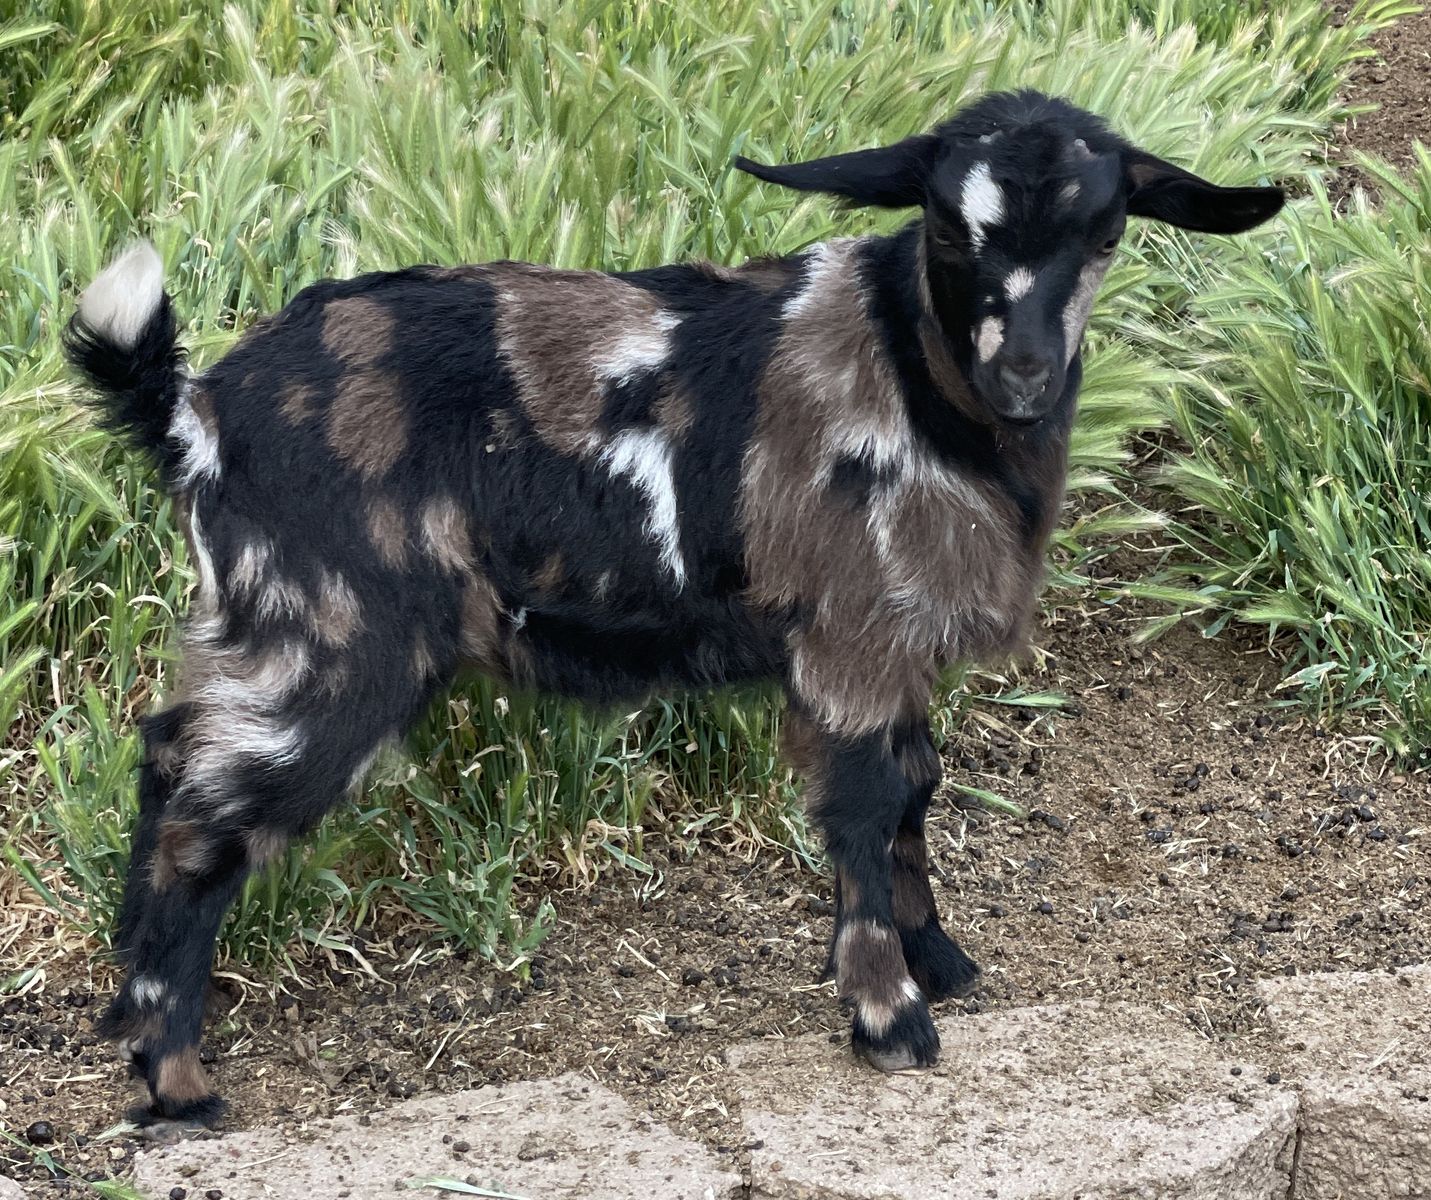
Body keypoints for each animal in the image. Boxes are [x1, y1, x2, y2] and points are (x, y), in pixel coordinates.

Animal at [65, 90, 1282, 1129]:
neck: (919, 379)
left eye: (1105, 228)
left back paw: (136, 1019)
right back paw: (176, 1084)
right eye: (946, 222)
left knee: (169, 756)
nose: (1023, 374)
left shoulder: (899, 643)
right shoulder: (850, 634)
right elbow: (863, 805)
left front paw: (940, 963)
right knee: (201, 808)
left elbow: (916, 790)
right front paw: (890, 1018)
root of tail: (199, 415)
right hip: (335, 634)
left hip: (269, 625)